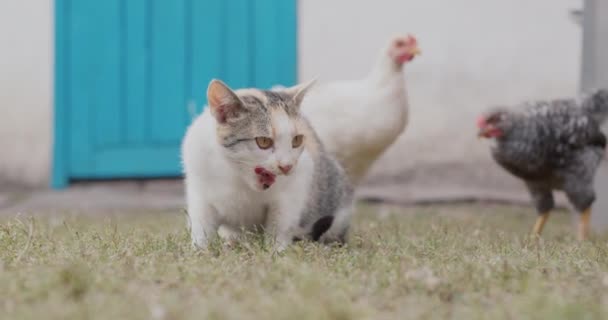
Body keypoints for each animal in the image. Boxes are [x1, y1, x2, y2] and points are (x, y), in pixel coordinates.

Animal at [182, 79, 352, 251]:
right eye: (263, 141)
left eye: (297, 140)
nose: (287, 166)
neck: (236, 175)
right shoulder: (199, 185)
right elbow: (202, 222)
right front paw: (201, 249)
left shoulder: (297, 181)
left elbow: (280, 222)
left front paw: (276, 250)